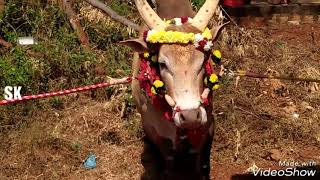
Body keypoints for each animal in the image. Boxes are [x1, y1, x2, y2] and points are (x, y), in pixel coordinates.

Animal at [120, 0, 228, 179]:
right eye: (162, 64)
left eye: (203, 60)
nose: (190, 116)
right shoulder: (155, 132)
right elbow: (168, 160)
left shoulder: (208, 125)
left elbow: (201, 161)